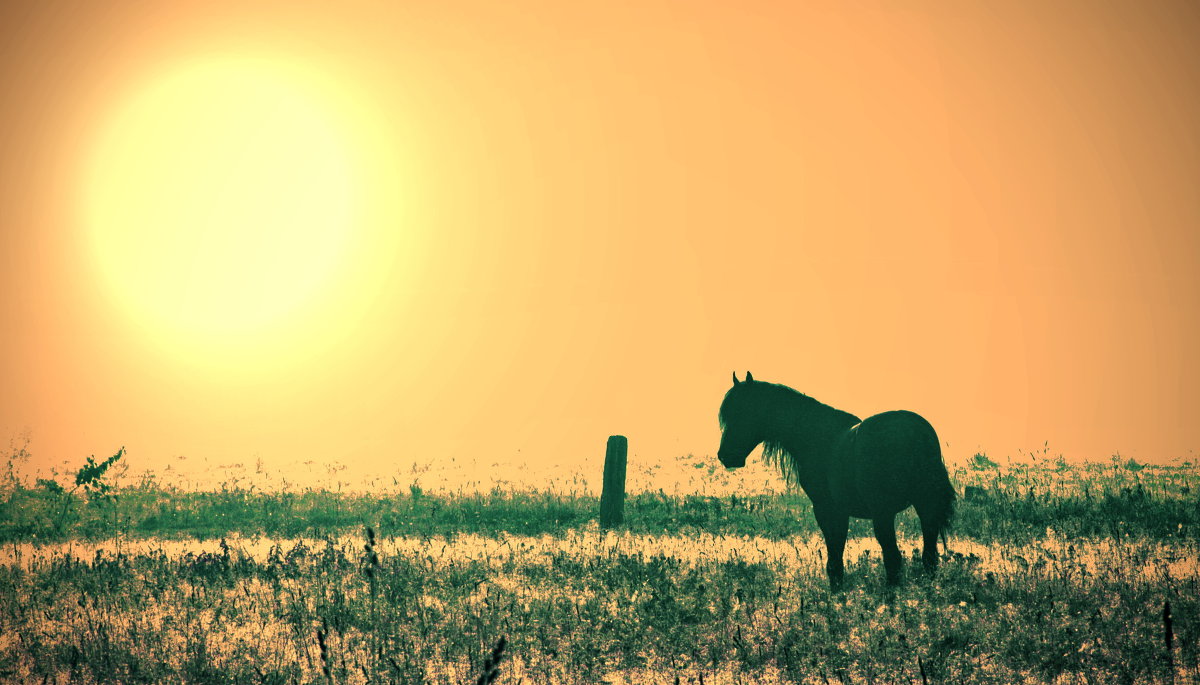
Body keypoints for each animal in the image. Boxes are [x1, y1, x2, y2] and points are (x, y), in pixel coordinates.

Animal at [710, 369, 955, 590]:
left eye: (745, 411)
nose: (726, 456)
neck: (817, 438)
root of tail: (914, 432)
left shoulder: (827, 510)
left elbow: (834, 562)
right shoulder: (842, 512)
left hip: (883, 513)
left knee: (894, 560)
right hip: (925, 507)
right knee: (928, 558)